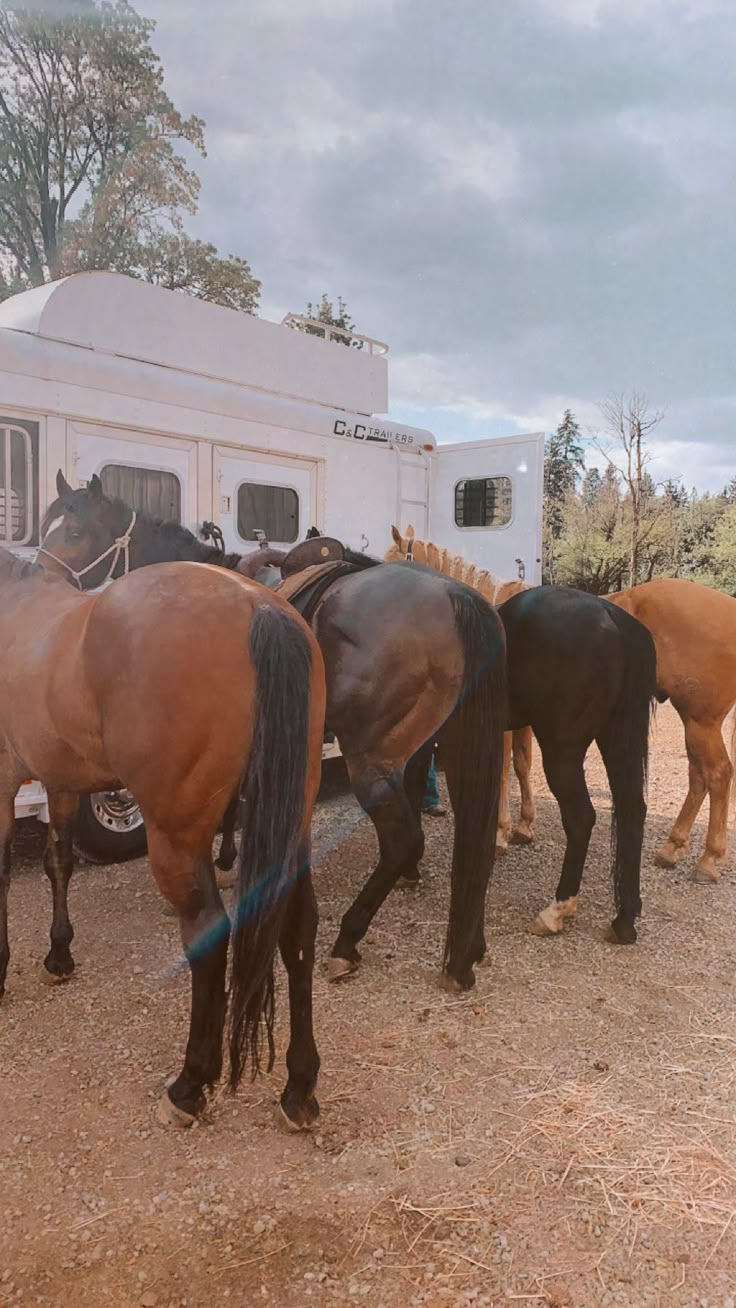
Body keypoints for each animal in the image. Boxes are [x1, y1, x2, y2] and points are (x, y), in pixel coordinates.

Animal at [0, 546, 328, 1130]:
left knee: (209, 936)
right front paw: (59, 955)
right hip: (293, 826)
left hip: (176, 838)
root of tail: (258, 604)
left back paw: (190, 1085)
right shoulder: (61, 781)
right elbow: (58, 862)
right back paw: (299, 1087)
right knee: (298, 930)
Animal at [35, 476, 507, 994]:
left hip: (370, 757)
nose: (42, 577)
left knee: (401, 839)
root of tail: (456, 597)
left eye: (74, 531)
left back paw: (348, 942)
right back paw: (469, 948)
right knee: (473, 839)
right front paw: (228, 859)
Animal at [603, 580, 736, 878]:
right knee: (699, 775)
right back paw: (673, 847)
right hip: (694, 723)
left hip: (701, 721)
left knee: (718, 773)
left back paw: (709, 858)